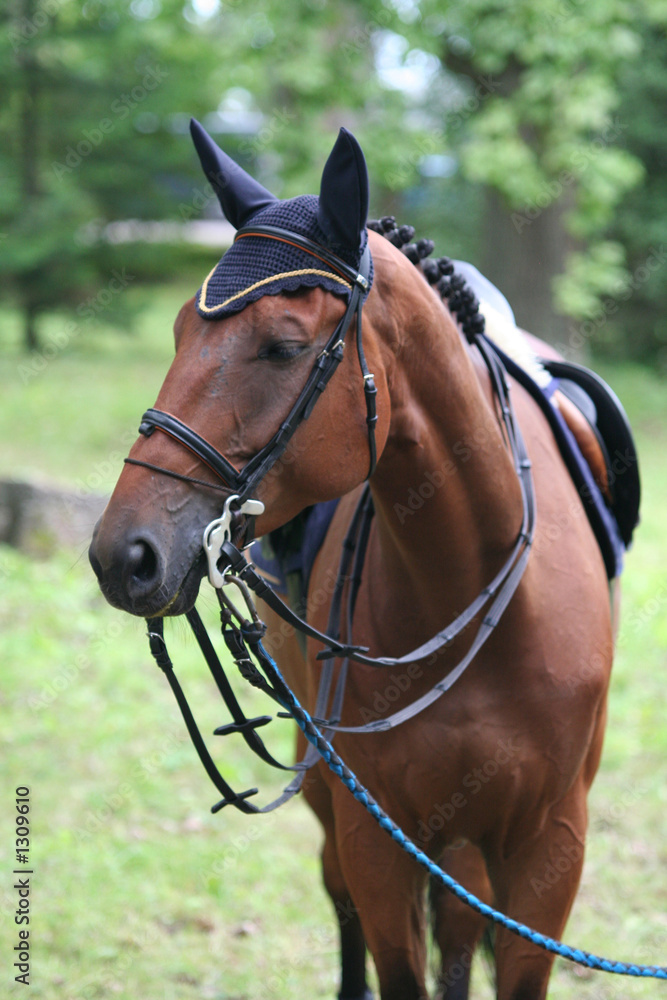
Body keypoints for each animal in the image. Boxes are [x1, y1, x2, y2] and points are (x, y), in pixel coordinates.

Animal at [89, 121, 624, 1000]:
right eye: (175, 335)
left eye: (281, 346)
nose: (122, 555)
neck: (472, 587)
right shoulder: (376, 836)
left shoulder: (551, 847)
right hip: (332, 795)